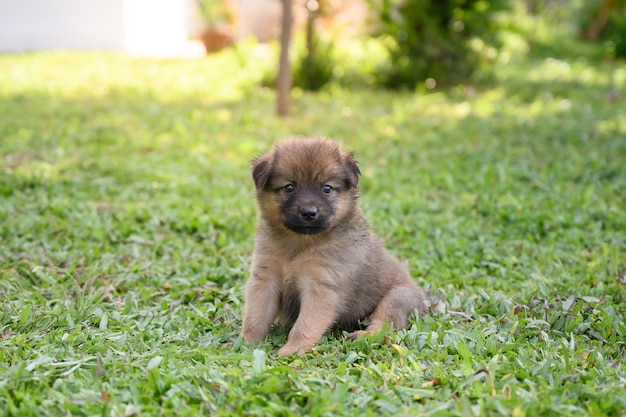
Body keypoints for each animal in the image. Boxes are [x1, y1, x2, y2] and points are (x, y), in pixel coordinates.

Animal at [239, 137, 428, 354]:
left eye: (326, 188)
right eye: (289, 187)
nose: (309, 212)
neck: (299, 245)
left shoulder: (322, 287)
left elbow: (304, 326)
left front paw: (292, 350)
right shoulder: (265, 279)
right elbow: (255, 319)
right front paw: (245, 342)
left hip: (399, 296)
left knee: (384, 325)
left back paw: (361, 336)